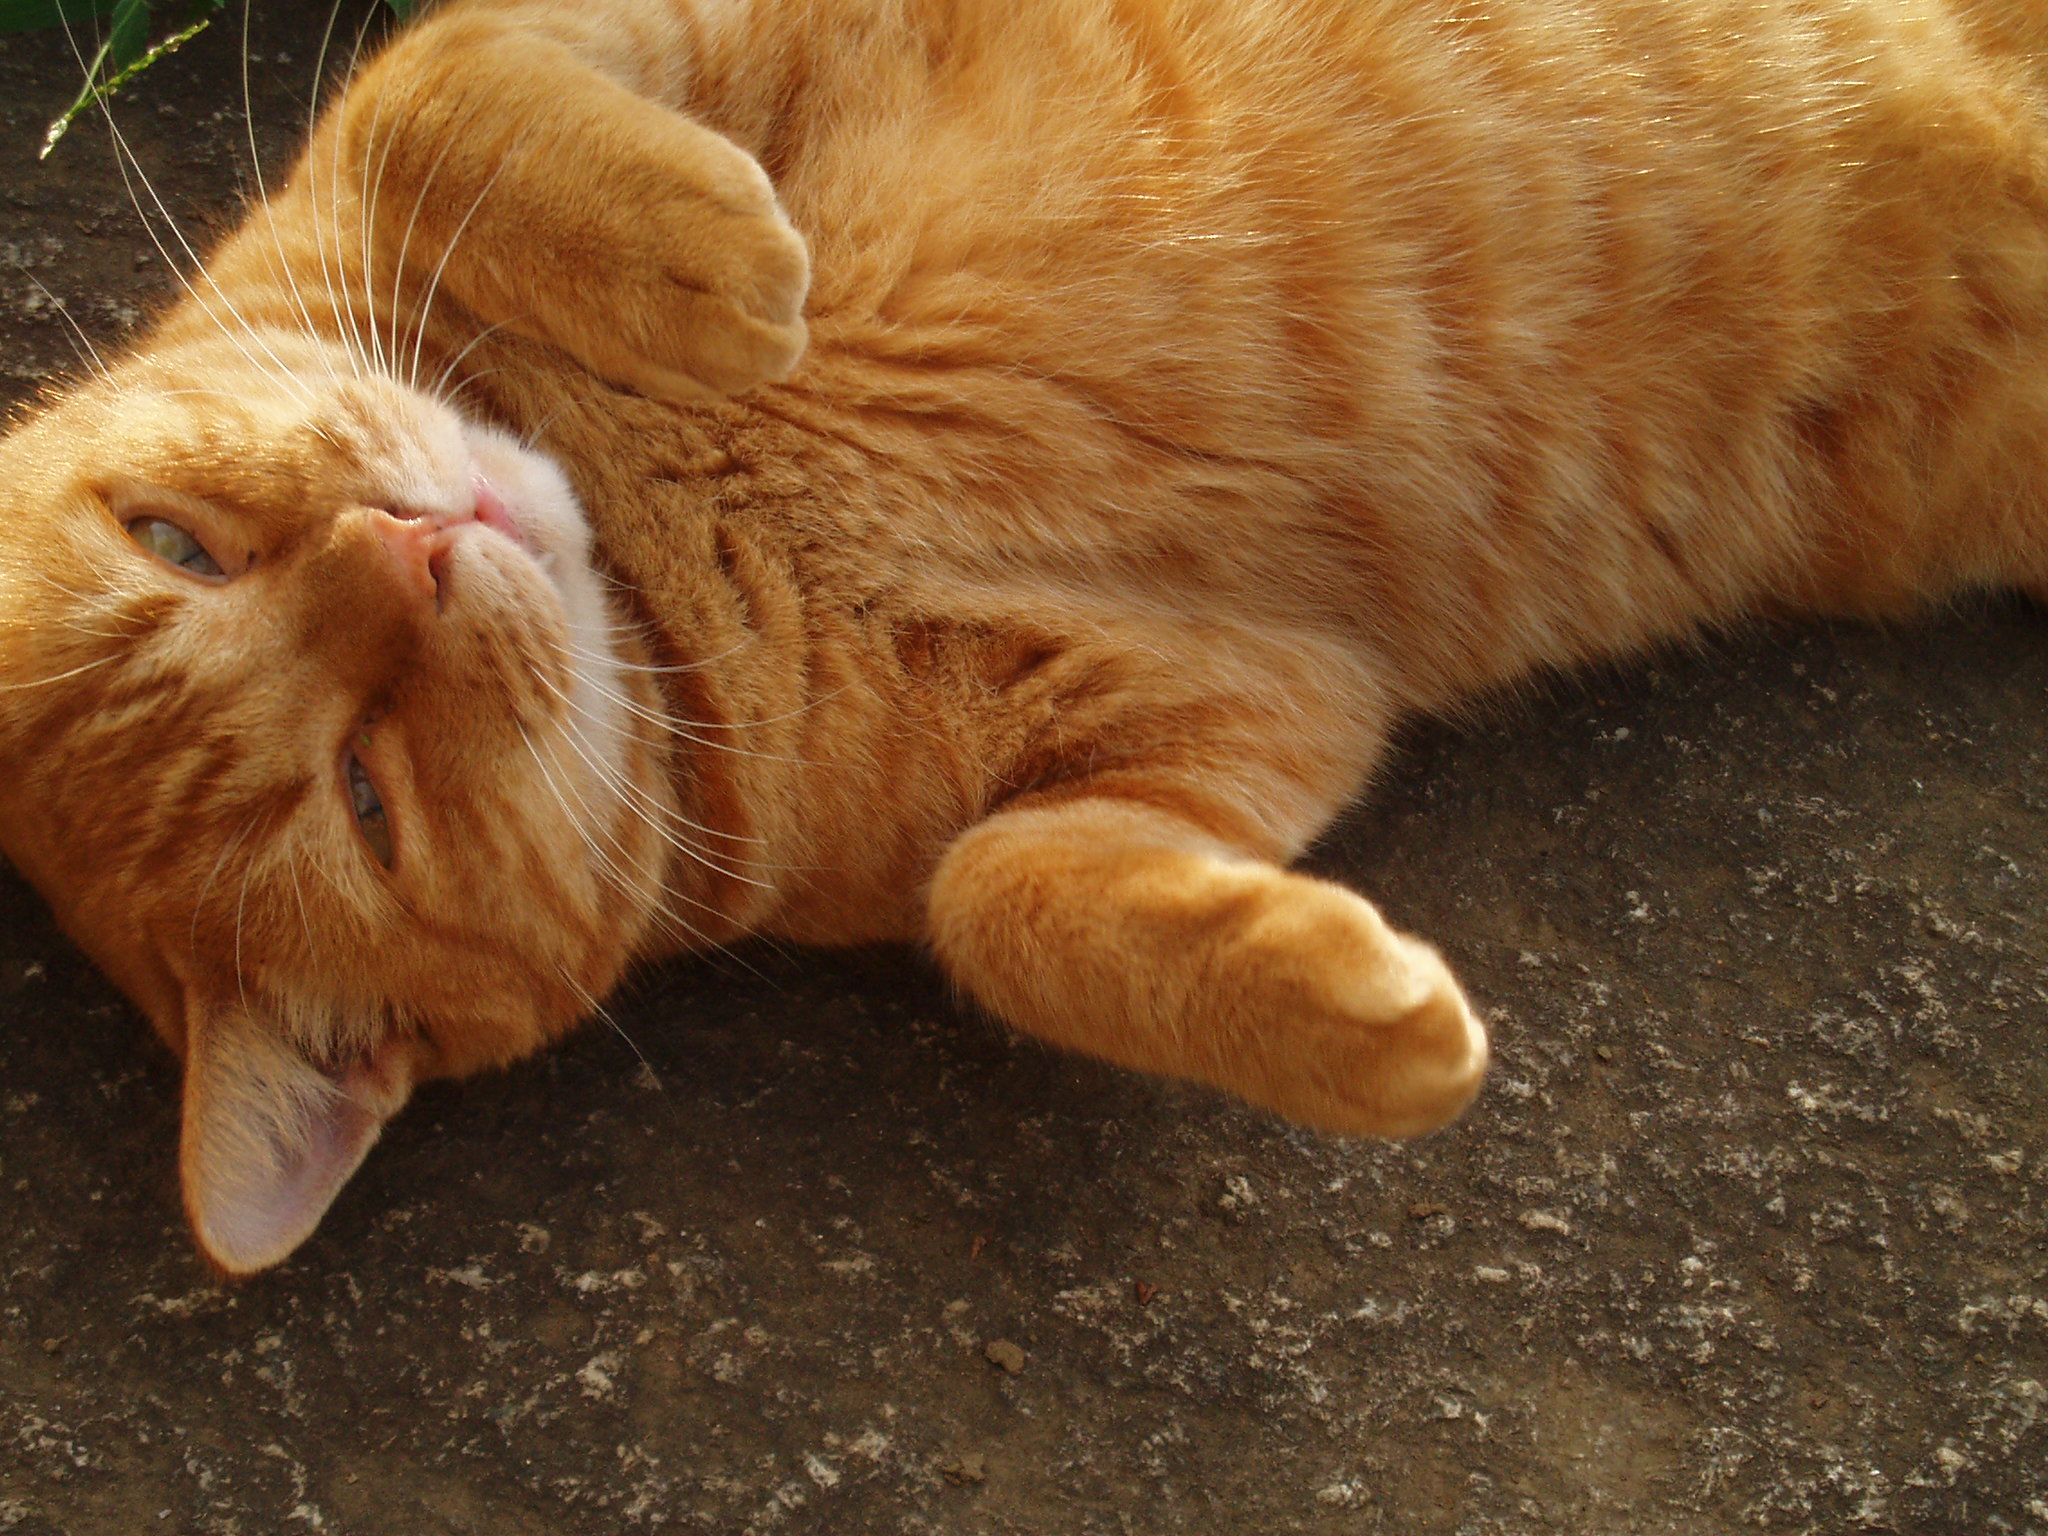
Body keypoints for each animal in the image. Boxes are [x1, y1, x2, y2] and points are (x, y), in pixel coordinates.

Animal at [4, 0, 2048, 1277]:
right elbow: (1008, 900)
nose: (415, 552)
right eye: (365, 793)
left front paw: (724, 263)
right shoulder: (1242, 713)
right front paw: (1369, 1026)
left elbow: (449, 102)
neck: (659, 534)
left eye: (177, 543)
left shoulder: (583, 52)